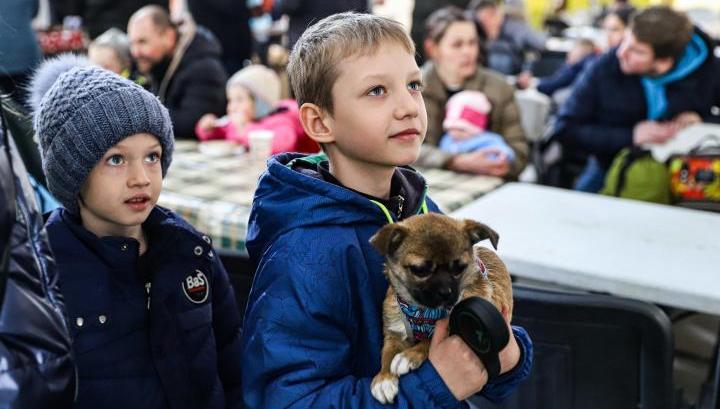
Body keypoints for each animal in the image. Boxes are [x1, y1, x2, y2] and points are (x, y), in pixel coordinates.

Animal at [368, 212, 516, 404]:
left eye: (460, 268)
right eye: (420, 270)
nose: (446, 292)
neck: (421, 310)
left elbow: (429, 341)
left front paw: (409, 356)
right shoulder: (394, 333)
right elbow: (386, 354)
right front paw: (383, 379)